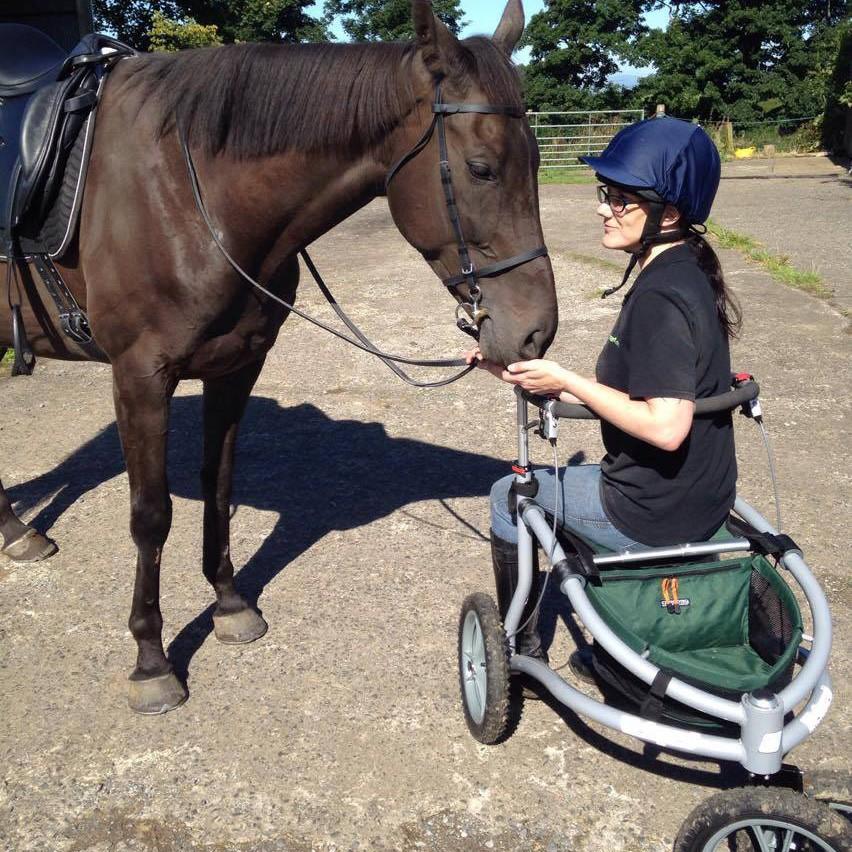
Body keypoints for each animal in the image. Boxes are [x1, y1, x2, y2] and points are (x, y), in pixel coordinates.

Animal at [0, 0, 557, 713]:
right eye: (482, 167)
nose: (536, 333)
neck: (188, 187)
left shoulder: (237, 365)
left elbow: (219, 488)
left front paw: (230, 604)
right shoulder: (139, 376)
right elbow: (151, 516)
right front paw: (152, 661)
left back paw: (20, 533)